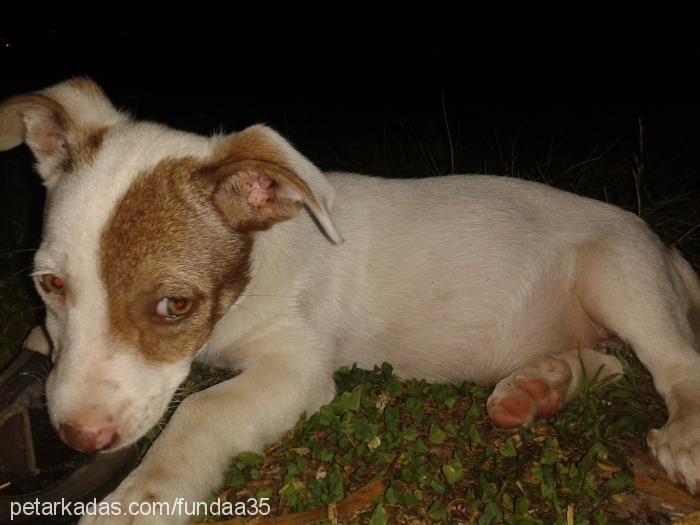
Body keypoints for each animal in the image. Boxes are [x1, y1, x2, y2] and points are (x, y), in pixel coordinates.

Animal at [1, 79, 700, 524]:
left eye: (174, 306)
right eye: (50, 285)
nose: (80, 439)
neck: (252, 276)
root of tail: (667, 250)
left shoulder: (298, 369)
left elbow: (200, 410)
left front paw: (139, 500)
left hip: (619, 276)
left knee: (675, 364)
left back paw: (682, 434)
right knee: (609, 363)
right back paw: (540, 385)